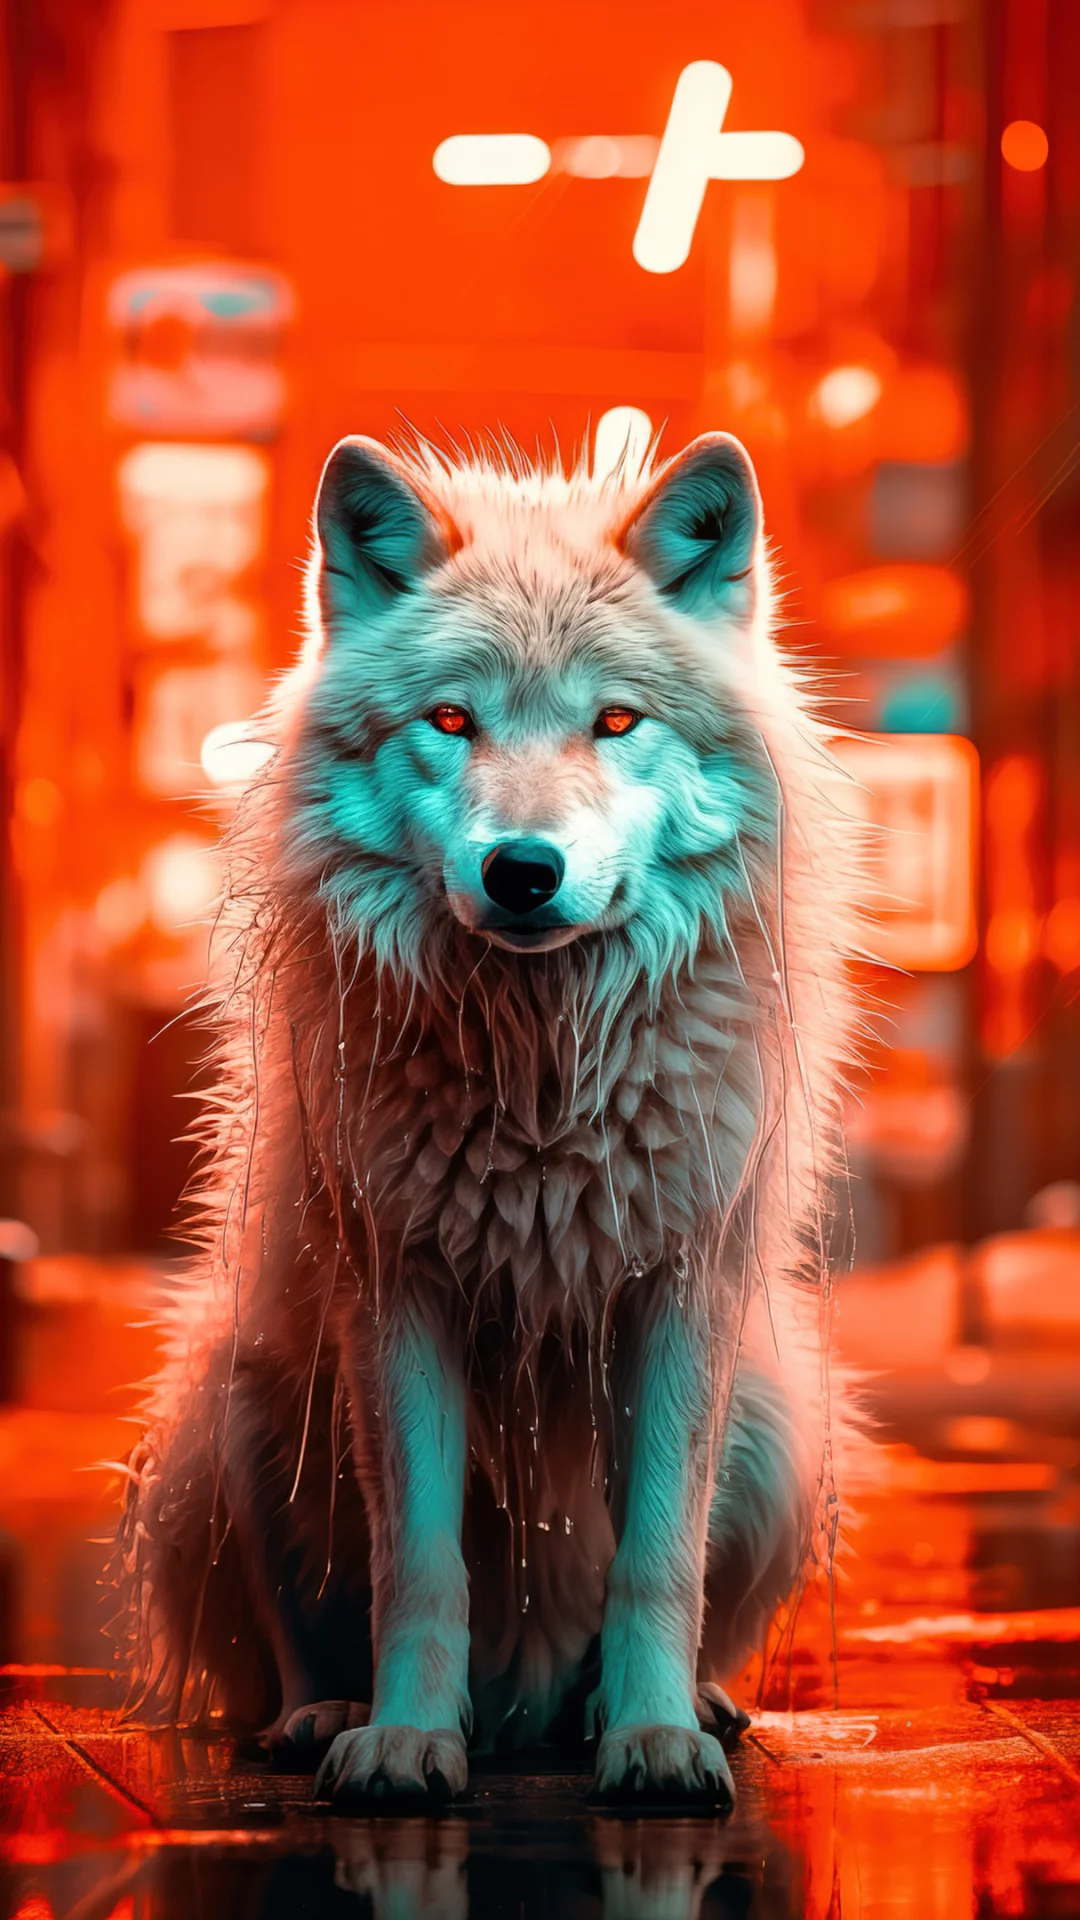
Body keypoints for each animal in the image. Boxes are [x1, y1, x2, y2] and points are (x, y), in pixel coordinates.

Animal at [114, 429, 863, 1810]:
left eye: (616, 719)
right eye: (451, 720)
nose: (523, 869)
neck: (542, 1080)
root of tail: (526, 1697)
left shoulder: (678, 1291)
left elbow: (656, 1558)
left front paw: (653, 1737)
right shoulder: (398, 1291)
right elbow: (417, 1563)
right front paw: (408, 1740)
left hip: (783, 1424)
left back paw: (675, 1706)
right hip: (240, 1408)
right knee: (293, 1641)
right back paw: (327, 1716)